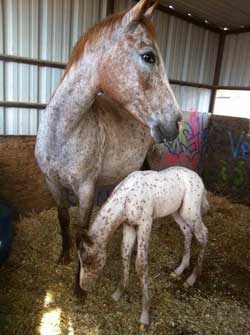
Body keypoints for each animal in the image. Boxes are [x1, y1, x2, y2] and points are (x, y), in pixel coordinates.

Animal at [77, 167, 209, 326]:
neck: (126, 200)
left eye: (89, 261)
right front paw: (119, 292)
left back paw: (192, 279)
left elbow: (140, 264)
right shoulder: (129, 225)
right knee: (187, 232)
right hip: (177, 212)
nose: (83, 286)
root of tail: (199, 179)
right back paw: (180, 269)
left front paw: (145, 314)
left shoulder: (145, 223)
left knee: (203, 235)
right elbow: (125, 254)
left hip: (191, 211)